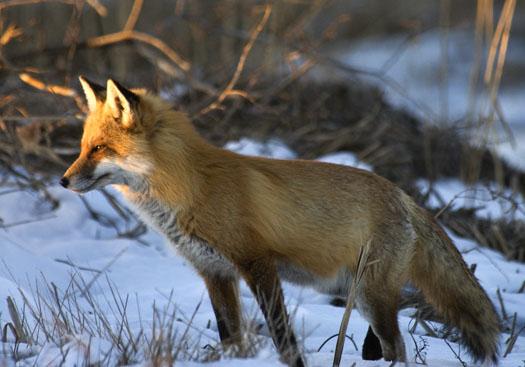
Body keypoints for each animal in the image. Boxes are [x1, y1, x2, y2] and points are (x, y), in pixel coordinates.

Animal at [61, 76, 500, 366]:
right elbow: (230, 334)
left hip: (371, 296)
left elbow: (282, 335)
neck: (190, 186)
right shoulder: (214, 271)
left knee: (398, 347)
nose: (63, 181)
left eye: (99, 149)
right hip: (357, 293)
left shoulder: (257, 263)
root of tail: (406, 197)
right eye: (82, 147)